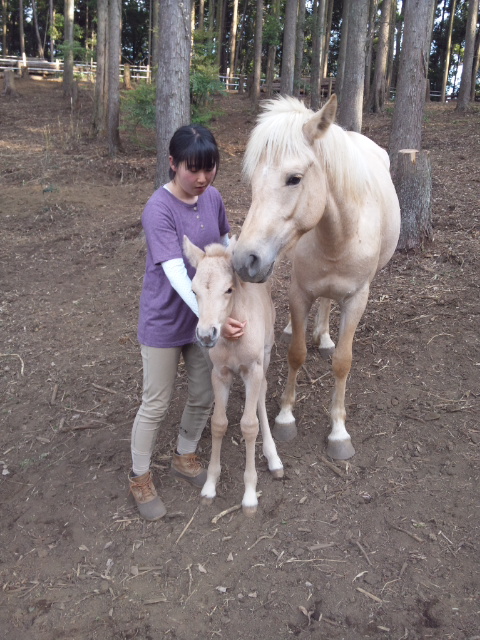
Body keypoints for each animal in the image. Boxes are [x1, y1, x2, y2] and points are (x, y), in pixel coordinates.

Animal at [183, 236, 282, 516]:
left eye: (228, 289)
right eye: (193, 291)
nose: (206, 334)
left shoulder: (253, 370)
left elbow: (249, 425)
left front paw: (249, 495)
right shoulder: (220, 373)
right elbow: (219, 423)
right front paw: (209, 487)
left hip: (265, 355)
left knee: (261, 396)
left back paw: (273, 457)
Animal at [232, 95, 402, 460]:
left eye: (294, 178)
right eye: (252, 182)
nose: (244, 260)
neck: (339, 235)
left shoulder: (357, 299)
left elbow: (343, 362)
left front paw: (338, 431)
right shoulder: (299, 293)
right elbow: (296, 352)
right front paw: (285, 416)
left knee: (328, 305)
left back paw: (324, 337)